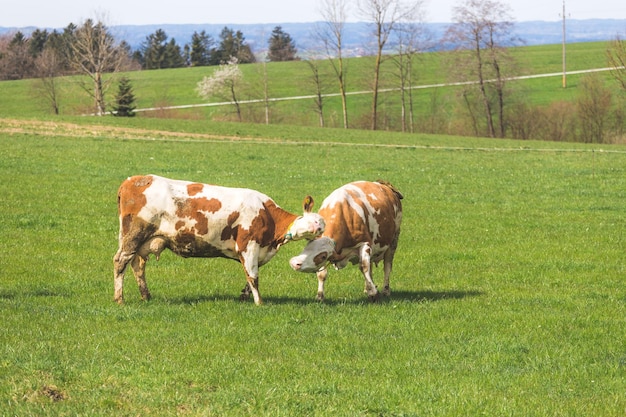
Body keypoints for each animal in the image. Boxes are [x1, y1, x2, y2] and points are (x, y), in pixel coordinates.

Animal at [114, 174, 324, 304]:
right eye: (314, 220)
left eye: (322, 224)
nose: (319, 229)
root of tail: (134, 180)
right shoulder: (248, 246)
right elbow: (253, 276)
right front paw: (259, 302)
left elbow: (249, 277)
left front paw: (244, 298)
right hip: (134, 235)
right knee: (120, 262)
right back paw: (119, 299)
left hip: (142, 241)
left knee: (137, 265)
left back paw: (146, 296)